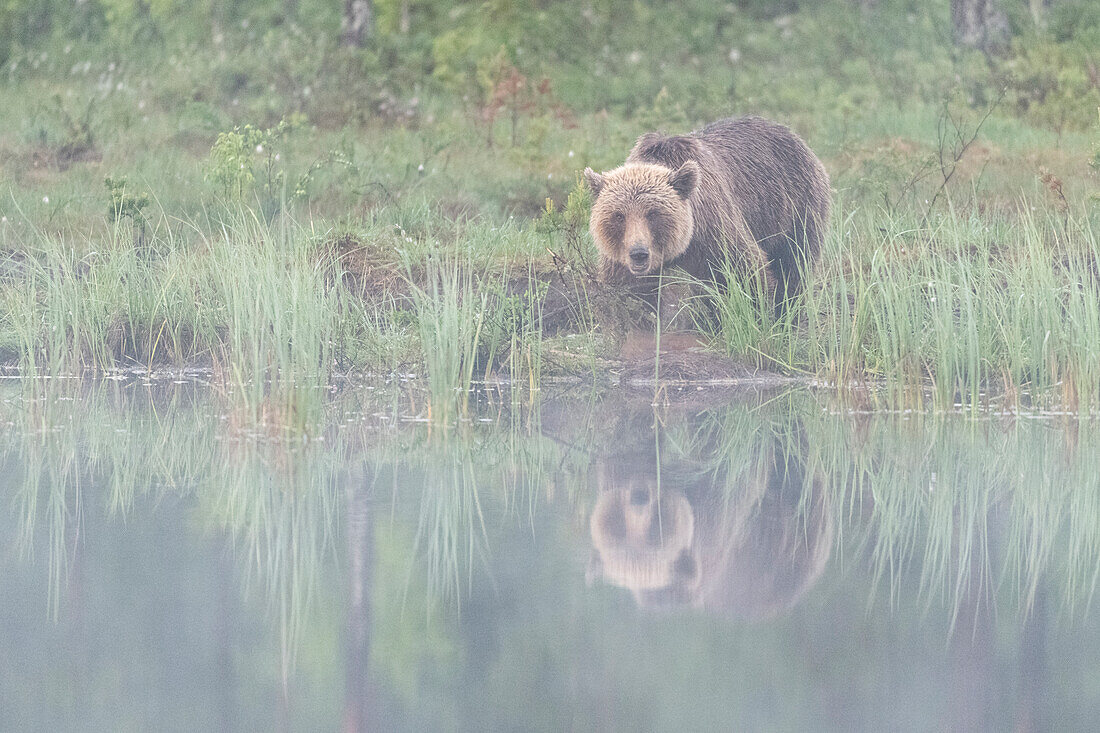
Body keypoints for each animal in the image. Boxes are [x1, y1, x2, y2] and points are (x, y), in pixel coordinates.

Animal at [585, 118, 827, 301]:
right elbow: (630, 296)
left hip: (795, 206)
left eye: (653, 214)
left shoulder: (714, 232)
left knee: (794, 263)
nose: (639, 254)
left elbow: (749, 275)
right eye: (619, 216)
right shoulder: (620, 260)